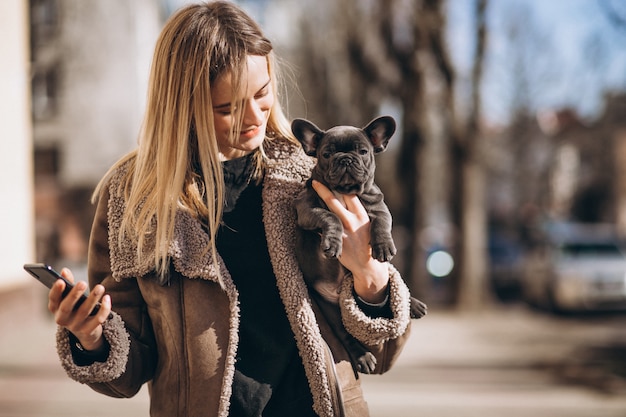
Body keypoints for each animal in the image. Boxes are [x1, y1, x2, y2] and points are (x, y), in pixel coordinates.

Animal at [292, 115, 426, 372]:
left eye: (363, 151)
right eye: (326, 154)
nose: (345, 158)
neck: (344, 192)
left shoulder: (378, 204)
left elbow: (382, 222)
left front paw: (384, 246)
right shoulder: (307, 209)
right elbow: (331, 217)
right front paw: (333, 243)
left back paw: (413, 304)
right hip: (331, 311)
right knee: (346, 335)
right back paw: (363, 357)